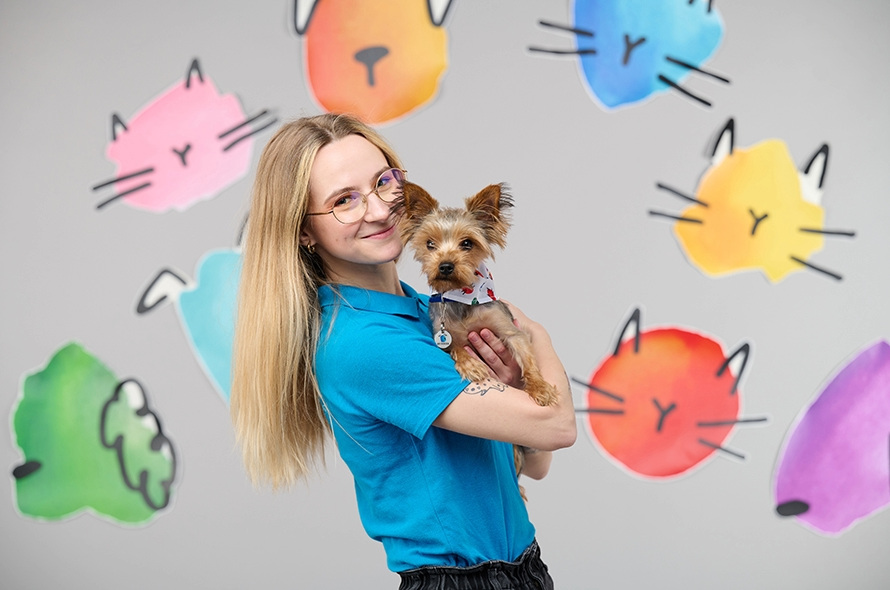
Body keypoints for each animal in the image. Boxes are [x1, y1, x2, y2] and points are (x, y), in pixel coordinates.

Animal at [396, 182, 556, 494]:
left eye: (467, 243)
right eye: (430, 244)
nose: (445, 266)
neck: (463, 297)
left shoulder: (509, 329)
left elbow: (528, 360)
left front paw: (541, 388)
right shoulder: (442, 336)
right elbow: (456, 347)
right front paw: (472, 365)